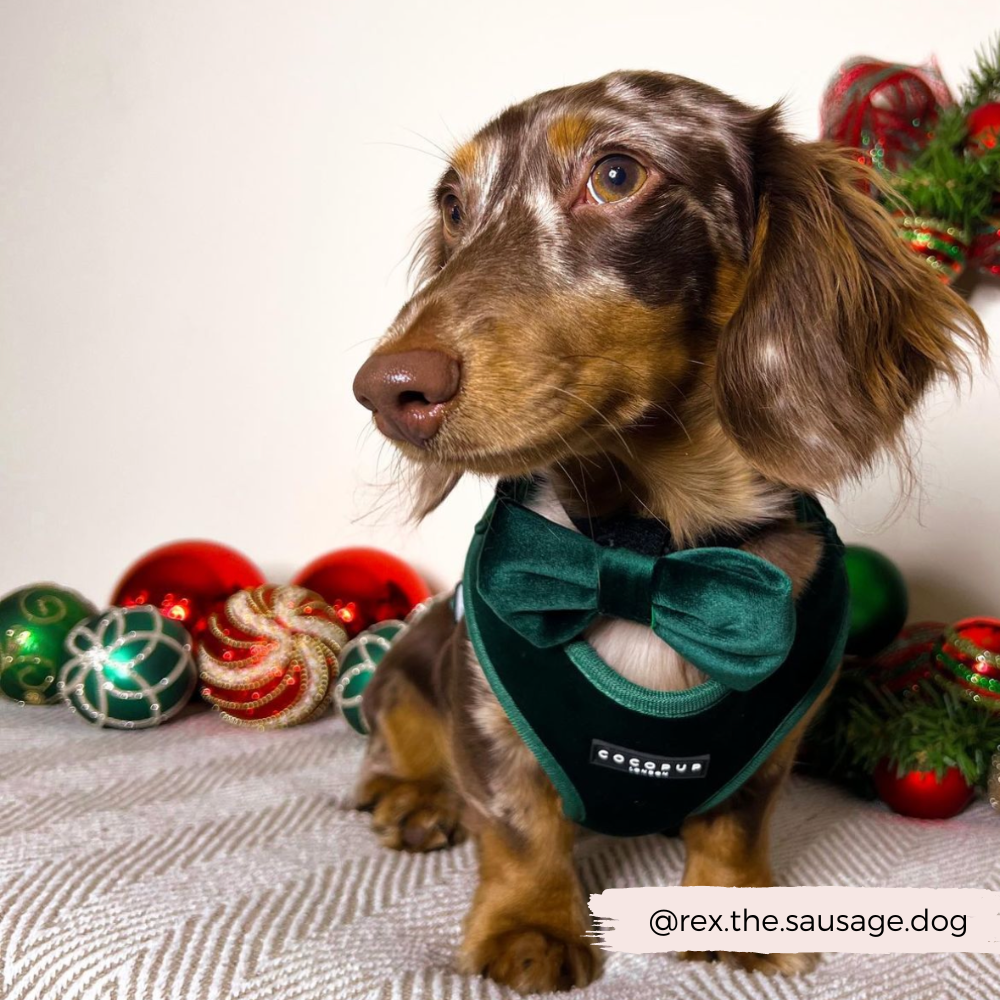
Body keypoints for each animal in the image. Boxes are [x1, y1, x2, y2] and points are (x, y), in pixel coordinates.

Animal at [350, 72, 984, 992]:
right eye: (454, 205)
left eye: (617, 175)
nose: (389, 390)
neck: (646, 552)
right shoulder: (485, 704)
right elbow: (517, 820)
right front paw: (526, 928)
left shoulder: (770, 736)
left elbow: (736, 824)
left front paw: (735, 917)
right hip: (408, 660)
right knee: (399, 740)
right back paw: (414, 799)